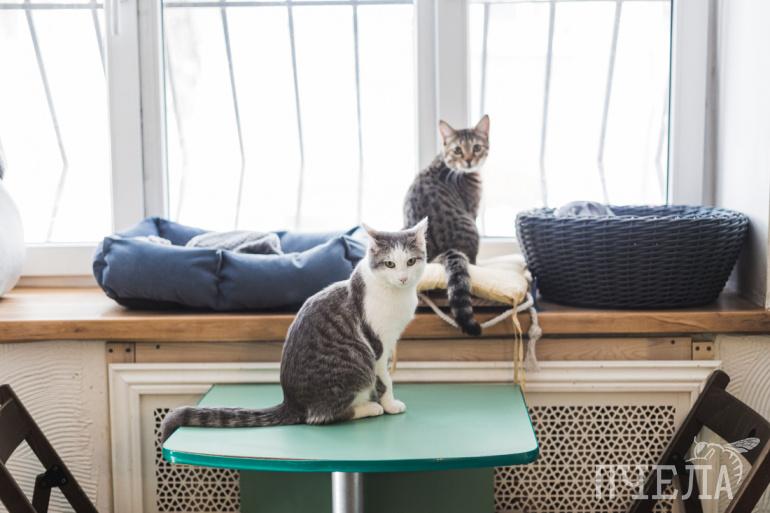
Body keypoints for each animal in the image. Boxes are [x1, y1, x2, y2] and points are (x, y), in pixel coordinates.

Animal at [160, 219, 428, 442]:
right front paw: (390, 403)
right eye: (390, 264)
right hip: (356, 367)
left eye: (411, 262)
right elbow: (385, 379)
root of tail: (291, 402)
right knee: (321, 416)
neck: (396, 294)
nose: (403, 278)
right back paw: (369, 408)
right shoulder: (378, 343)